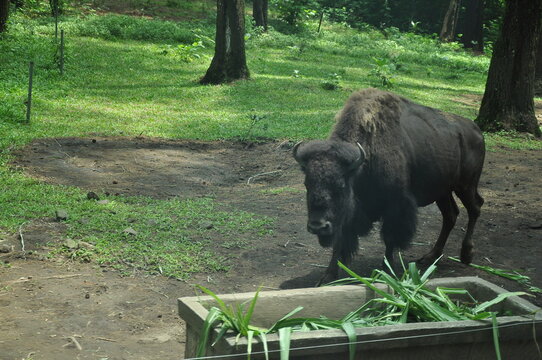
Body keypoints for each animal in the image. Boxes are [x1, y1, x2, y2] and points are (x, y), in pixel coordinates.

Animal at [296, 88, 486, 286]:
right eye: (307, 183)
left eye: (341, 185)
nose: (318, 226)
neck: (363, 162)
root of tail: (477, 131)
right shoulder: (347, 216)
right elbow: (340, 242)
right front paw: (328, 277)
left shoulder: (396, 206)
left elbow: (390, 238)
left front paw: (386, 271)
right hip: (442, 191)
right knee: (451, 215)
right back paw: (430, 256)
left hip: (466, 185)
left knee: (475, 207)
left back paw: (466, 254)